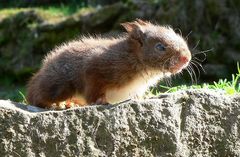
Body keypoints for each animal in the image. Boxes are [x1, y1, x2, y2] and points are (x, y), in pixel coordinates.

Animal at [26, 19, 191, 108]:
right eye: (160, 47)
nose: (187, 58)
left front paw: (145, 98)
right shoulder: (96, 68)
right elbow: (93, 90)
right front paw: (99, 101)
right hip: (58, 86)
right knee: (35, 96)